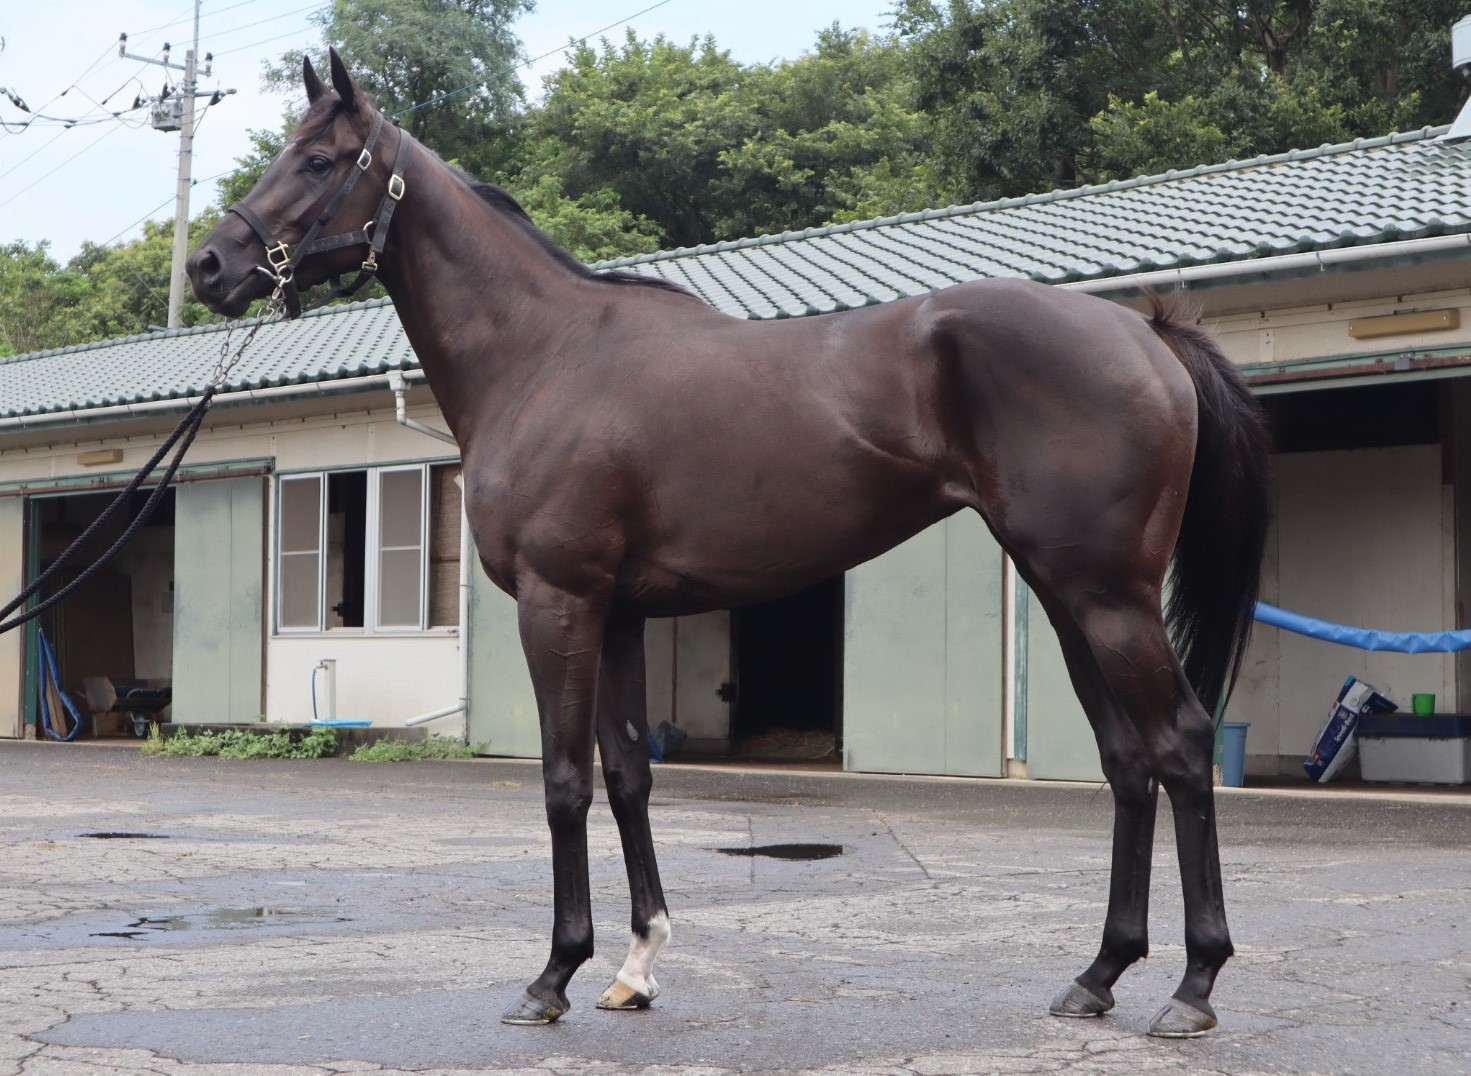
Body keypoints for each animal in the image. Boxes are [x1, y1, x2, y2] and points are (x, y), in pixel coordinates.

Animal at [186, 52, 1265, 1042]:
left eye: (317, 158)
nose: (209, 265)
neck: (541, 357)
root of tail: (1146, 334)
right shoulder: (618, 614)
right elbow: (628, 775)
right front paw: (636, 966)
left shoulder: (558, 602)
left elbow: (564, 783)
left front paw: (553, 975)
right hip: (1064, 592)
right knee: (1126, 760)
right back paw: (1099, 972)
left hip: (1106, 595)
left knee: (1180, 743)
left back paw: (1192, 984)